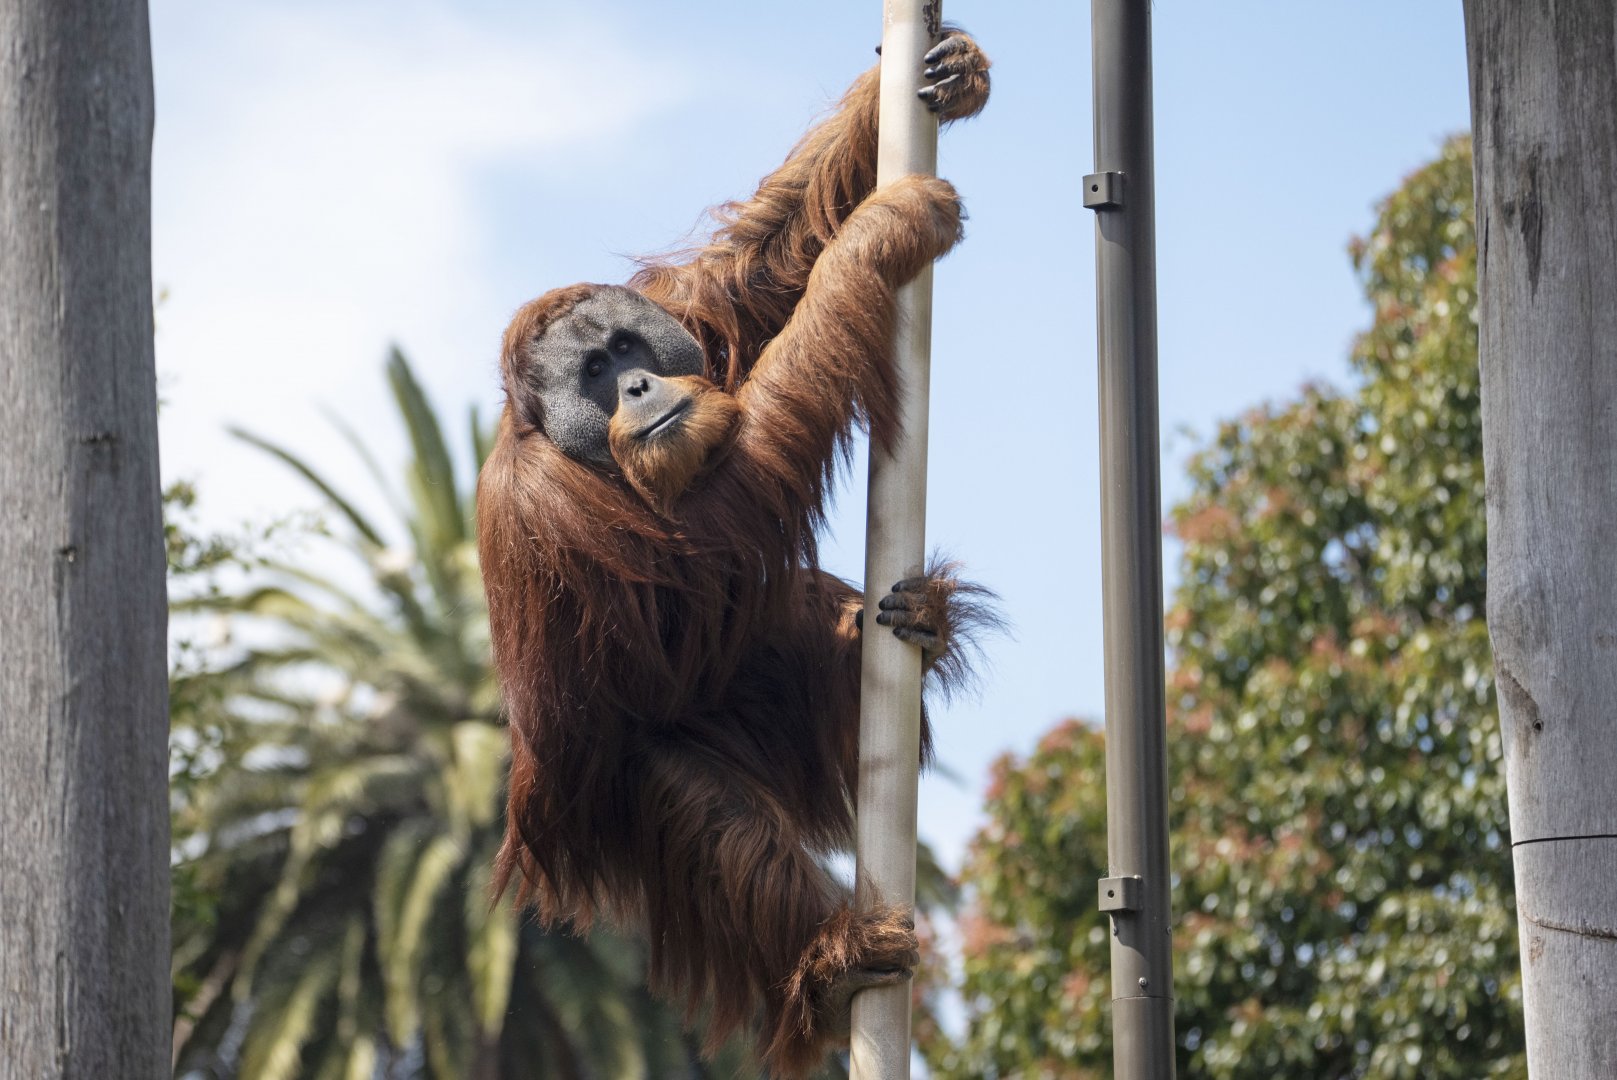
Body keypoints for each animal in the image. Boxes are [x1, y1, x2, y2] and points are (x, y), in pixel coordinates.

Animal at [476, 30, 991, 1076]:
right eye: (595, 373)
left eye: (633, 347)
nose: (638, 385)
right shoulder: (546, 507)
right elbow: (713, 543)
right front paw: (881, 231)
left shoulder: (687, 308)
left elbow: (763, 260)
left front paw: (946, 70)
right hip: (606, 809)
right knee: (693, 799)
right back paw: (833, 966)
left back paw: (901, 629)